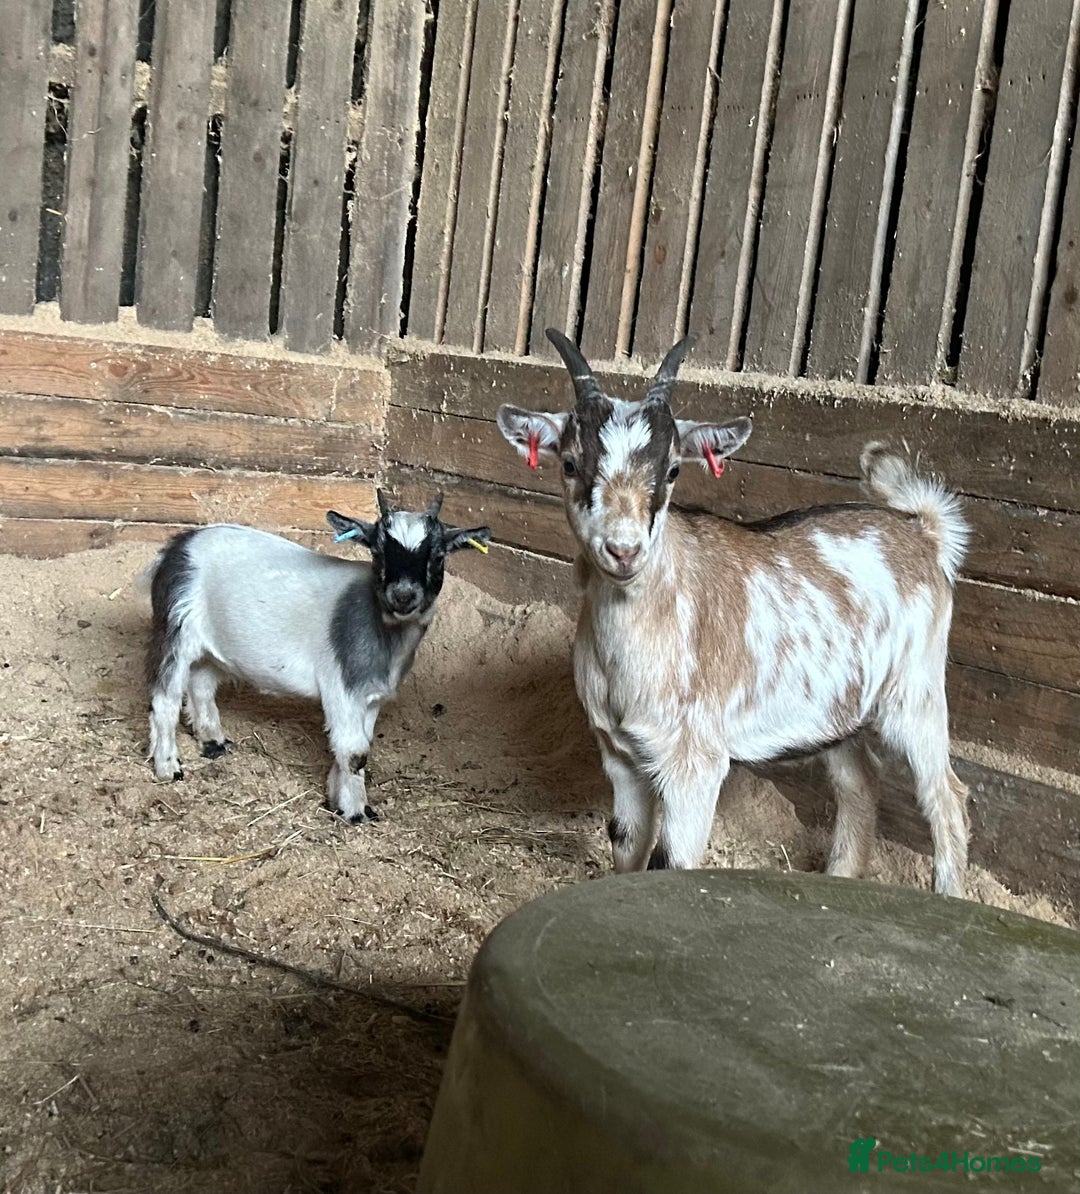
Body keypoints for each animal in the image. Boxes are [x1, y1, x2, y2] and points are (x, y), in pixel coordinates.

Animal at [141, 492, 491, 822]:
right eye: (378, 551)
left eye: (438, 555)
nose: (403, 596)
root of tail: (177, 546)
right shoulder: (342, 689)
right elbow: (354, 752)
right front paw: (356, 812)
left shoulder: (371, 697)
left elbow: (356, 747)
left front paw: (337, 799)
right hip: (175, 632)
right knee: (165, 701)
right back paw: (168, 767)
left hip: (211, 649)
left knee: (201, 684)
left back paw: (212, 742)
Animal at [496, 330, 971, 895]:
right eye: (569, 463)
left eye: (673, 469)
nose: (624, 551)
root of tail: (922, 531)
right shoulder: (620, 754)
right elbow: (627, 848)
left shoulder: (695, 763)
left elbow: (671, 862)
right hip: (839, 710)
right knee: (860, 780)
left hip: (915, 691)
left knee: (946, 797)